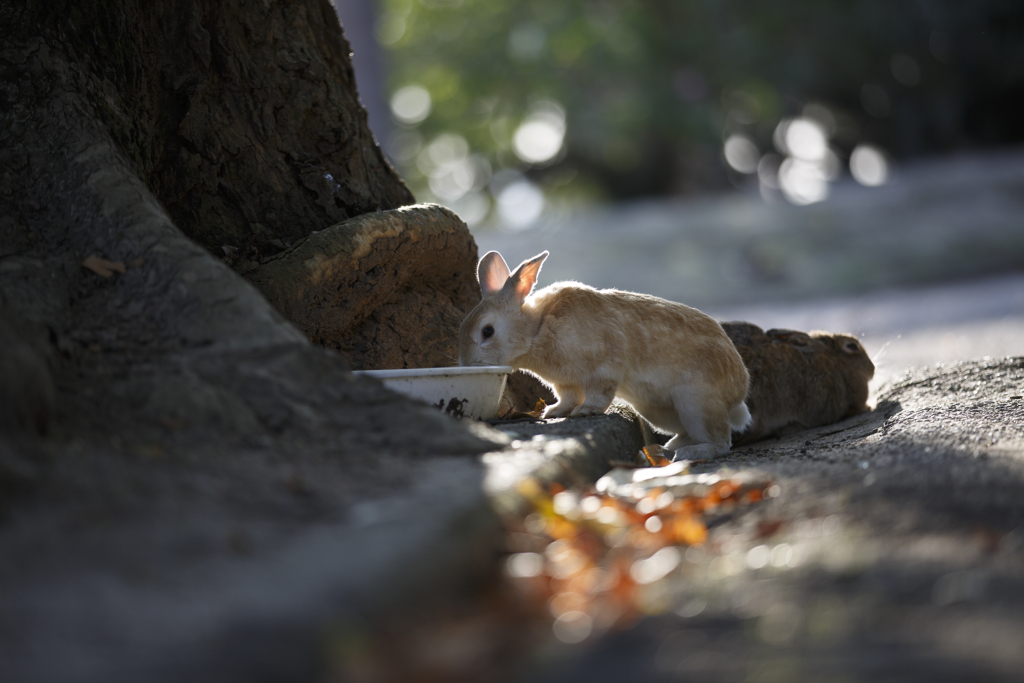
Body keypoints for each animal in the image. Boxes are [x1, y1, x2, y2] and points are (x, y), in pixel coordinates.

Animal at [460, 249, 749, 458]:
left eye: (487, 331)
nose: (466, 363)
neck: (537, 328)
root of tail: (738, 392)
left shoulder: (602, 369)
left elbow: (598, 395)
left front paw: (584, 412)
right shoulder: (564, 383)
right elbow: (567, 398)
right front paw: (553, 413)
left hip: (696, 403)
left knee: (721, 442)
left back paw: (690, 454)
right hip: (658, 411)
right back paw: (669, 448)